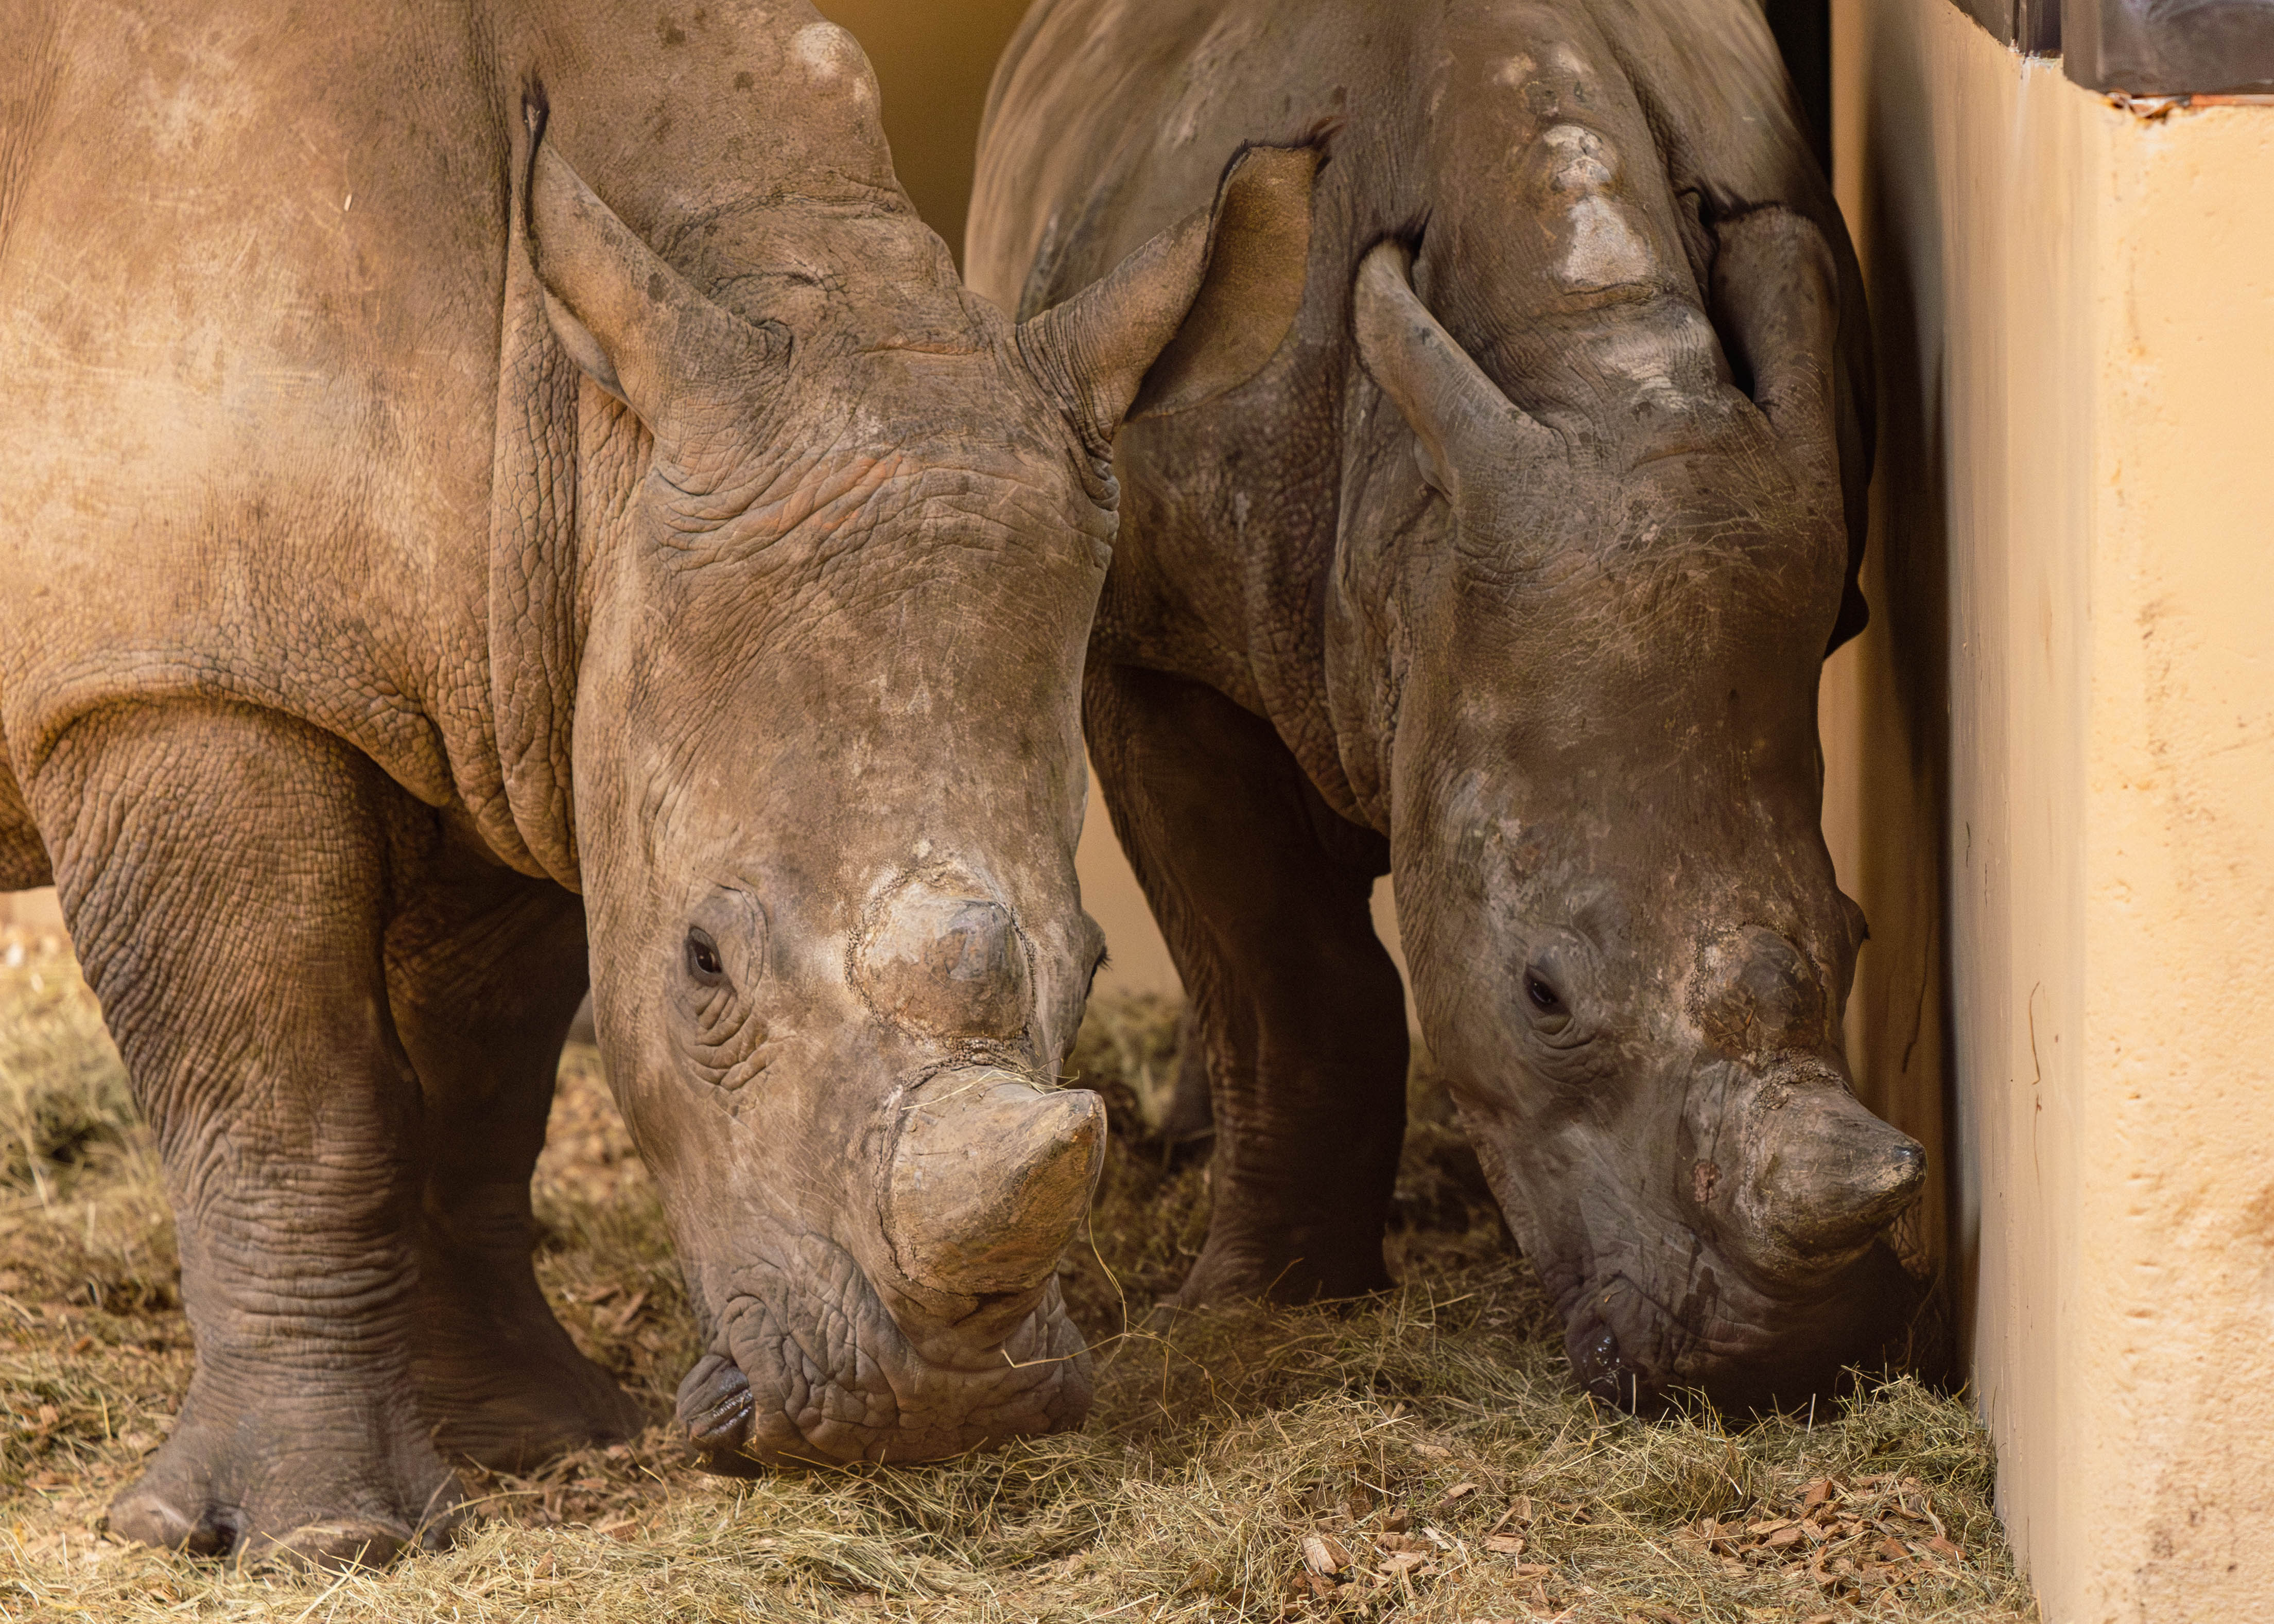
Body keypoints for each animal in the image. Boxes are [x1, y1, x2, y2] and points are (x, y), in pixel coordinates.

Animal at [0, 0, 1314, 1564]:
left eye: (1097, 958)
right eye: (704, 965)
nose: (936, 1413)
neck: (581, 428)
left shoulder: (519, 689)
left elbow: (483, 1078)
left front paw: (527, 1435)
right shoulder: (183, 677)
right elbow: (296, 1103)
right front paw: (318, 1538)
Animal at [969, 0, 1927, 1410]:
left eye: (1858, 935)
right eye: (1542, 994)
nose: (1777, 1361)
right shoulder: (1147, 645)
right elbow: (1287, 973)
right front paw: (1255, 1306)